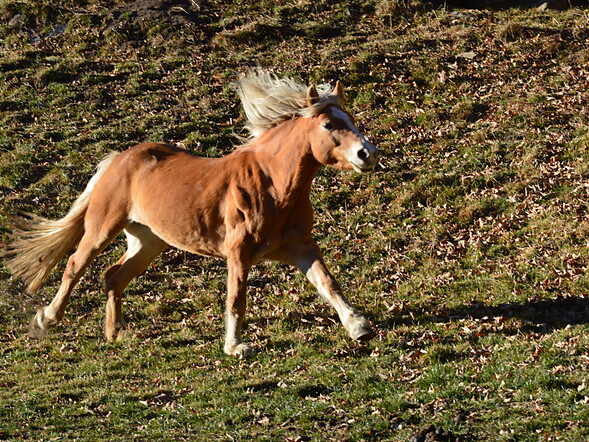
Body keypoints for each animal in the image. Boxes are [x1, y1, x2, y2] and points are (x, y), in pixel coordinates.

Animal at [4, 71, 378, 358]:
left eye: (351, 120)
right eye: (328, 124)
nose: (368, 153)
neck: (272, 185)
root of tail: (119, 159)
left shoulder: (300, 247)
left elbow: (328, 283)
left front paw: (359, 327)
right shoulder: (238, 252)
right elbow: (236, 297)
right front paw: (235, 347)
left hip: (148, 241)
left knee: (114, 276)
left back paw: (115, 334)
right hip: (102, 228)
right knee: (74, 266)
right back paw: (47, 319)